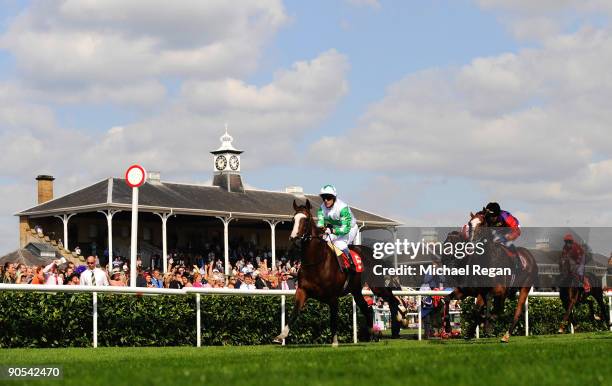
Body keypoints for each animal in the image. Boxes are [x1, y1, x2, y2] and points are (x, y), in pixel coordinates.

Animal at [274, 201, 404, 346]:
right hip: (356, 290)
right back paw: (373, 332)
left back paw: (399, 321)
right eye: (293, 220)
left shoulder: (333, 297)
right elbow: (294, 312)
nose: (294, 238)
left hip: (377, 287)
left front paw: (335, 342)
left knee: (392, 300)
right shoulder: (302, 290)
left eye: (306, 219)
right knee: (367, 308)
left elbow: (333, 319)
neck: (317, 262)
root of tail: (374, 254)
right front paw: (280, 336)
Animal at [442, 211, 536, 344]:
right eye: (445, 243)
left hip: (524, 288)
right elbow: (447, 300)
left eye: (453, 244)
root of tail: (529, 256)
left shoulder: (495, 291)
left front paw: (485, 327)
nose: (443, 259)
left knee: (515, 312)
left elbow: (484, 309)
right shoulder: (465, 291)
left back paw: (505, 335)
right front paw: (449, 328)